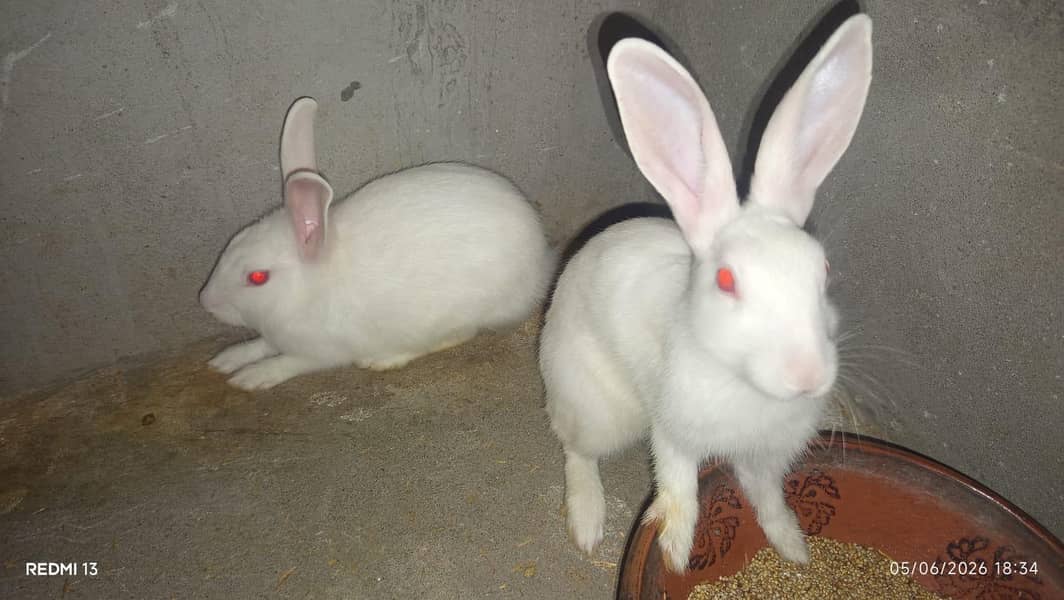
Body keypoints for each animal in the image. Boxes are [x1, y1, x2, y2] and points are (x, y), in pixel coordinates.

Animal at [200, 97, 554, 391]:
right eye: (234, 241)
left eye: (257, 277)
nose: (205, 302)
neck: (309, 291)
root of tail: (541, 260)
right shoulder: (276, 335)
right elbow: (260, 345)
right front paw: (226, 359)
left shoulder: (320, 352)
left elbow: (288, 362)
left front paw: (251, 377)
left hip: (459, 313)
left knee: (454, 336)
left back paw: (383, 359)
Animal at [539, 15, 873, 573]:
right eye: (726, 281)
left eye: (823, 270)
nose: (807, 376)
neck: (749, 387)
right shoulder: (673, 431)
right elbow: (678, 486)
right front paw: (675, 550)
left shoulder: (766, 456)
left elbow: (767, 497)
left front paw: (794, 548)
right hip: (598, 411)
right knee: (575, 449)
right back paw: (587, 523)